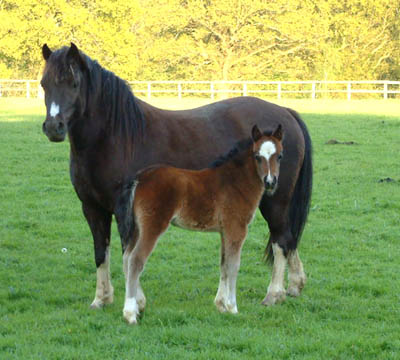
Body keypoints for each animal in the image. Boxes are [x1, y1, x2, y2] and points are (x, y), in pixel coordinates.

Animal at [122, 125, 284, 324]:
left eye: (279, 156)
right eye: (257, 156)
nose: (270, 182)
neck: (235, 182)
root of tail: (141, 177)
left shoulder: (224, 231)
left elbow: (223, 264)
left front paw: (221, 306)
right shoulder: (236, 229)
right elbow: (233, 265)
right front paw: (232, 307)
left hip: (137, 228)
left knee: (126, 257)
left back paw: (138, 306)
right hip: (152, 226)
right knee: (136, 260)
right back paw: (130, 314)